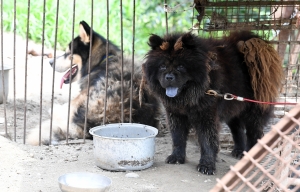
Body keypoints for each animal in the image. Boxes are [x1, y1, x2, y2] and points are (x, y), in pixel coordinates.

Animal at [143, 31, 284, 176]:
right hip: (233, 109)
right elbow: (178, 138)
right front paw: (177, 157)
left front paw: (207, 165)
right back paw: (239, 151)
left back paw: (251, 157)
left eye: (181, 66)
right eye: (162, 66)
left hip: (253, 112)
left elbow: (207, 141)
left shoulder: (206, 116)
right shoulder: (175, 115)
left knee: (253, 133)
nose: (169, 77)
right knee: (237, 130)